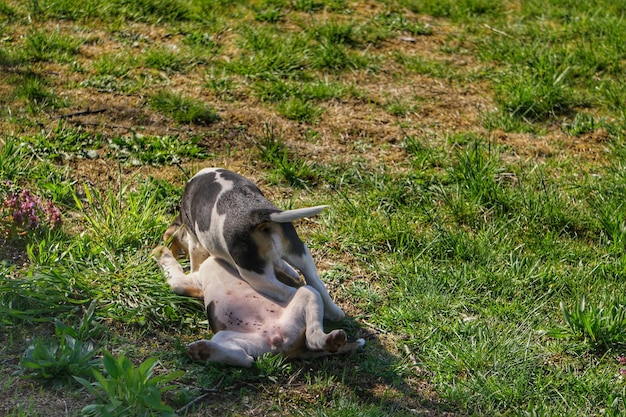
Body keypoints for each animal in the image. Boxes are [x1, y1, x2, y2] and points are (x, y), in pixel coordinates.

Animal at [152, 245, 366, 366]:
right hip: (235, 339)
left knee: (312, 336)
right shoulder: (192, 283)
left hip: (307, 294)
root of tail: (282, 343)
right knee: (245, 359)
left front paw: (161, 253)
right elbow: (176, 281)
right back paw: (204, 352)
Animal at [163, 167, 344, 320]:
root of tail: (258, 215)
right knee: (317, 283)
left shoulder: (196, 244)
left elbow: (195, 264)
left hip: (256, 276)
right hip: (300, 254)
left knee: (295, 292)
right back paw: (335, 314)